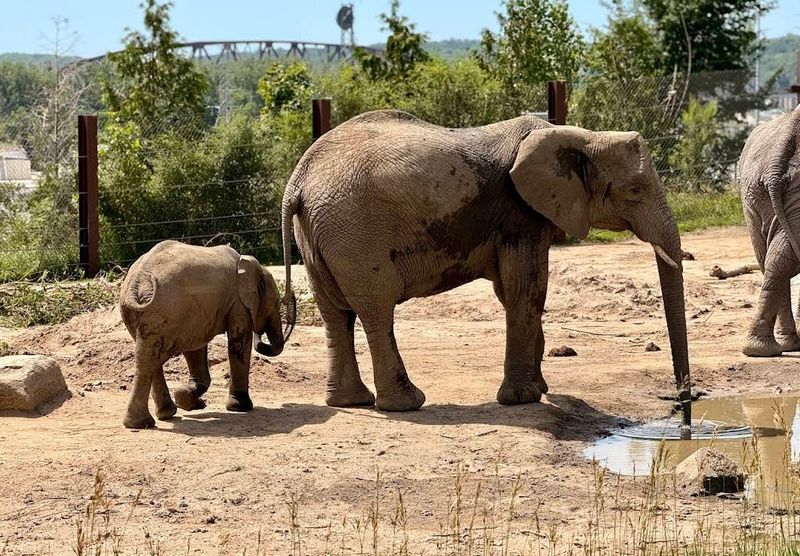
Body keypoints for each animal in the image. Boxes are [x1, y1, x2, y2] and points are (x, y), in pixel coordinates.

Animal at [119, 240, 292, 429]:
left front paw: (187, 400)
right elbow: (238, 344)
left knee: (149, 358)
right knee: (151, 358)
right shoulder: (237, 303)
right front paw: (241, 408)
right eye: (276, 303)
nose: (261, 333)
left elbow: (195, 348)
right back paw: (146, 422)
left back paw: (156, 418)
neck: (251, 264)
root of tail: (138, 281)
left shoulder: (199, 315)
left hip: (150, 313)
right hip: (165, 310)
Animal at [277, 110, 692, 423]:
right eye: (635, 190)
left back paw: (350, 402)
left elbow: (512, 291)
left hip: (317, 234)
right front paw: (525, 398)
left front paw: (540, 389)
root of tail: (298, 181)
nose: (682, 399)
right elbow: (528, 288)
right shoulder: (519, 212)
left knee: (336, 314)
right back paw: (407, 404)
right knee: (376, 308)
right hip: (354, 231)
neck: (581, 135)